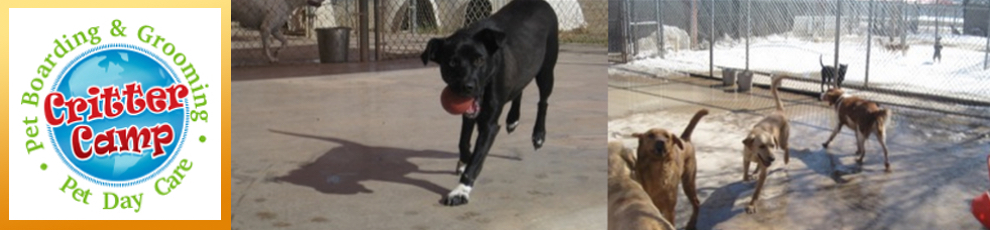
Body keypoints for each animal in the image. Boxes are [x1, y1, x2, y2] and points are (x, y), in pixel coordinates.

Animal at [418, 0, 560, 207]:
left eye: (479, 60)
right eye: (451, 63)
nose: (467, 87)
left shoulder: (489, 126)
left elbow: (477, 158)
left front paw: (461, 190)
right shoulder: (470, 114)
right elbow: (463, 141)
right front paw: (464, 161)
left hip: (547, 70)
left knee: (543, 102)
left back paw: (538, 135)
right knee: (519, 89)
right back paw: (513, 119)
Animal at [744, 75, 792, 214]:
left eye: (772, 145)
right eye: (761, 146)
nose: (772, 158)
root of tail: (779, 111)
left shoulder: (765, 171)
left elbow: (757, 191)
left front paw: (752, 205)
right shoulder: (746, 158)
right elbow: (745, 174)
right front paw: (749, 177)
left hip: (782, 141)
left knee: (787, 146)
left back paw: (786, 159)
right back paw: (755, 172)